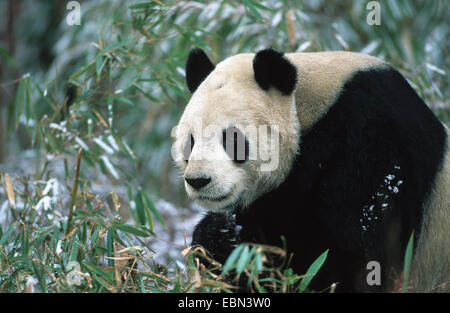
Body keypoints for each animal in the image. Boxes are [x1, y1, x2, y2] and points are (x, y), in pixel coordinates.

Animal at [171, 47, 448, 292]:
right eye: (190, 141)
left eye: (232, 139)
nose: (199, 180)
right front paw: (218, 237)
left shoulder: (372, 140)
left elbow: (345, 252)